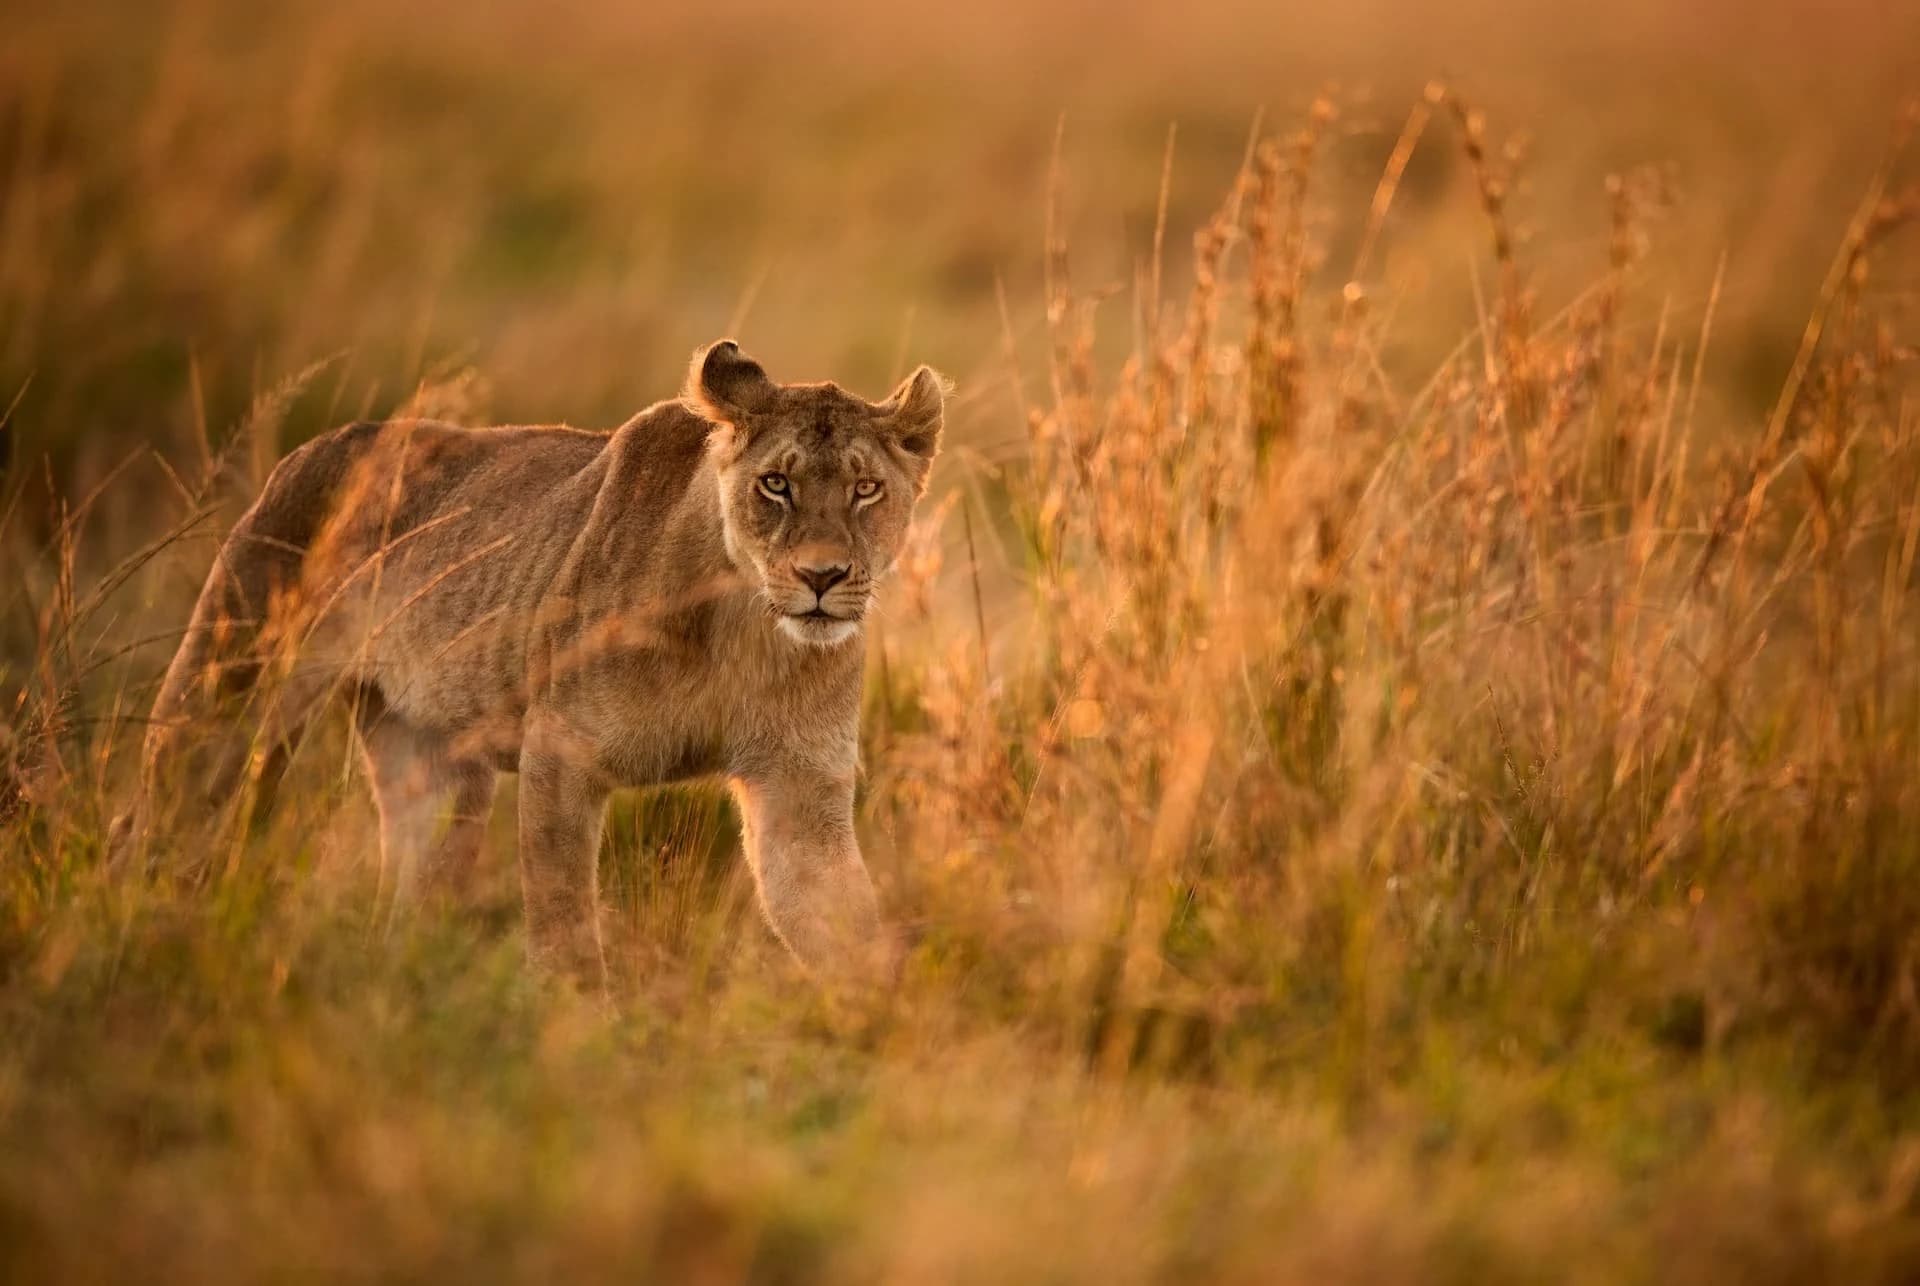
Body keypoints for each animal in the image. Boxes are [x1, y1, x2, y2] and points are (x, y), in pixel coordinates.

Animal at [112, 340, 945, 990]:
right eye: (776, 484)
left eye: (866, 489)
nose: (821, 576)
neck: (746, 627)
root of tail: (320, 443)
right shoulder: (561, 753)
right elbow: (565, 922)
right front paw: (585, 1033)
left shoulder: (799, 787)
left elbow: (842, 924)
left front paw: (884, 1032)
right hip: (225, 696)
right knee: (155, 815)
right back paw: (136, 931)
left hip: (435, 763)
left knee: (414, 891)